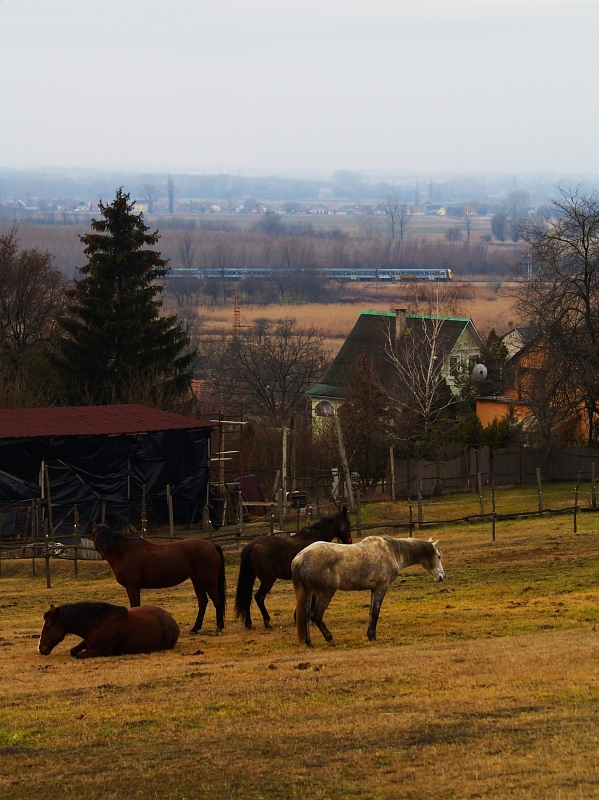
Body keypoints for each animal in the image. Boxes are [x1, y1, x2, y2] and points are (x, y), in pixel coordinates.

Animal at [38, 604, 179, 660]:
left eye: (48, 624)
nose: (40, 648)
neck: (98, 624)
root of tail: (171, 619)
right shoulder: (87, 641)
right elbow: (73, 650)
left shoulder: (100, 650)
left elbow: (79, 654)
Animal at [92, 520, 226, 636]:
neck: (123, 553)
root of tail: (212, 545)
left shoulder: (132, 587)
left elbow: (135, 606)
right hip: (197, 582)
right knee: (202, 602)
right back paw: (195, 628)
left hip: (209, 583)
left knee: (218, 601)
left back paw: (219, 628)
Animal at [290, 536, 446, 648]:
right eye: (439, 556)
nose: (441, 577)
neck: (391, 552)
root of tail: (300, 558)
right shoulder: (380, 589)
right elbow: (375, 613)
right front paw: (372, 636)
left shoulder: (373, 590)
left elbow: (371, 613)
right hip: (325, 594)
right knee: (316, 616)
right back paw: (330, 640)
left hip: (309, 593)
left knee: (305, 617)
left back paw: (309, 643)